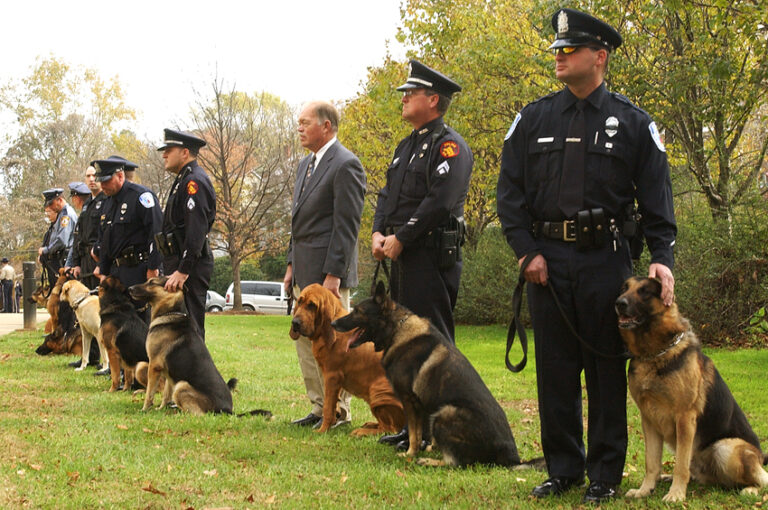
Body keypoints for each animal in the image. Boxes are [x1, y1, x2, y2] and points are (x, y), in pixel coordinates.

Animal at [130, 276, 236, 416]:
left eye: (152, 282)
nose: (129, 288)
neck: (171, 312)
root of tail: (227, 410)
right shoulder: (168, 372)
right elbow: (165, 394)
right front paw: (161, 409)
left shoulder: (154, 366)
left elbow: (149, 393)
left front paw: (144, 409)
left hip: (181, 386)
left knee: (199, 415)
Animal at [290, 280, 408, 436]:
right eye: (300, 301)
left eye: (312, 305)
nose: (295, 323)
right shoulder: (332, 380)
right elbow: (333, 404)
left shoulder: (332, 377)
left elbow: (328, 407)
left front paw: (322, 430)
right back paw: (370, 424)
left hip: (378, 393)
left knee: (390, 428)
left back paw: (362, 431)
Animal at [330, 280, 540, 468]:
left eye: (358, 311)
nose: (333, 323)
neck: (397, 329)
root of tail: (513, 458)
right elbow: (421, 433)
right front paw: (428, 447)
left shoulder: (409, 401)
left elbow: (414, 433)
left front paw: (410, 453)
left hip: (444, 414)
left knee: (457, 463)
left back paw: (430, 461)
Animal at [616, 276, 768, 500]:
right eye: (625, 288)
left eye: (645, 291)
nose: (619, 303)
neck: (654, 354)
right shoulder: (649, 420)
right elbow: (651, 462)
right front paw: (645, 490)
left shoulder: (685, 418)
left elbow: (680, 464)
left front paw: (676, 495)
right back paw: (666, 477)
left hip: (725, 447)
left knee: (761, 481)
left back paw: (750, 489)